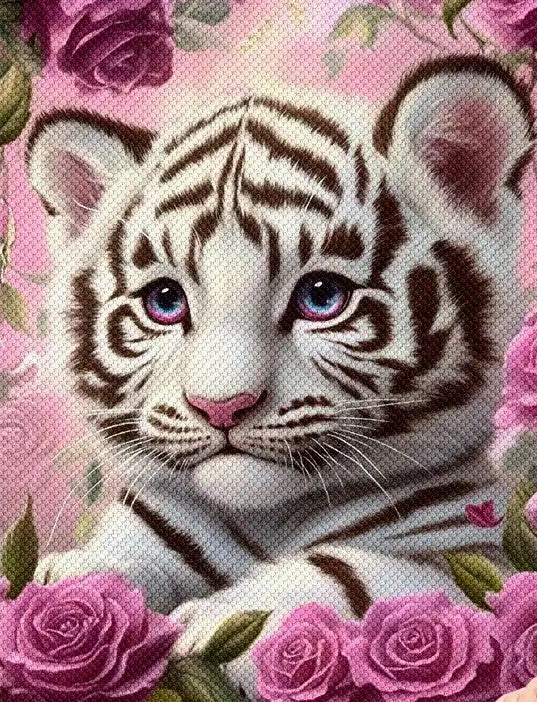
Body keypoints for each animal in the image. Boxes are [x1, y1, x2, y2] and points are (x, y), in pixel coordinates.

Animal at [28, 55, 533, 697]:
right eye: (165, 301)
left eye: (321, 296)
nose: (221, 405)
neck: (267, 518)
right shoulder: (159, 523)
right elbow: (118, 559)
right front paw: (72, 581)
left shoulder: (479, 557)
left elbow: (352, 571)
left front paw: (219, 624)